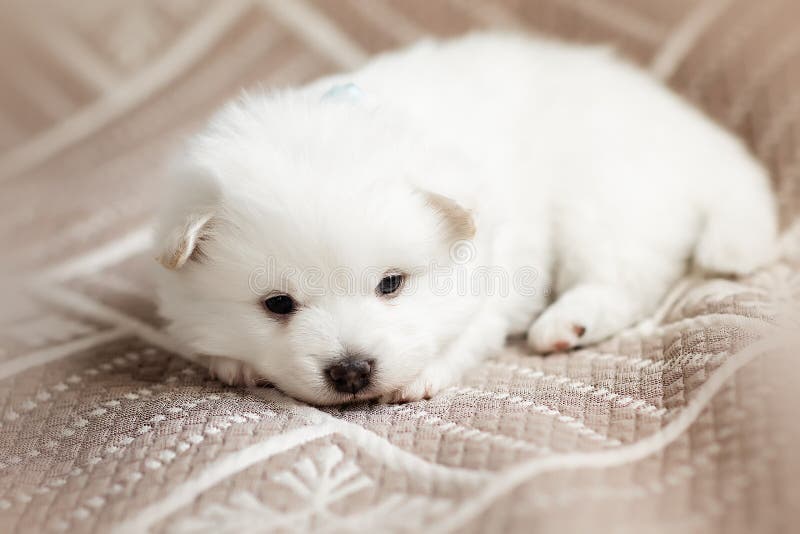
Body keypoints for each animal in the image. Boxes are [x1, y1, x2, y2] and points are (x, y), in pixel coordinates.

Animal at [153, 32, 780, 406]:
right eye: (278, 304)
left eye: (391, 284)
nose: (351, 372)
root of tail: (694, 134)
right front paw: (234, 364)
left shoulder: (505, 268)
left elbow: (469, 328)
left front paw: (424, 374)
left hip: (603, 203)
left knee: (626, 278)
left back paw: (566, 322)